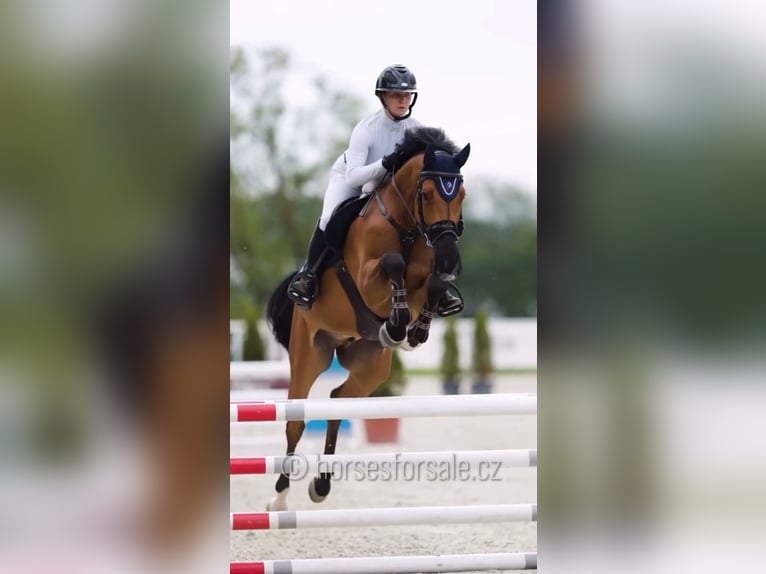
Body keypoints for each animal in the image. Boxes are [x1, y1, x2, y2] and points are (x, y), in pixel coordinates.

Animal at [265, 126, 470, 510]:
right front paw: (397, 326)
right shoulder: (365, 280)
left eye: (462, 194)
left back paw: (321, 485)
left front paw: (413, 331)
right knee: (295, 420)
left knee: (338, 400)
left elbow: (431, 283)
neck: (406, 226)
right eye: (427, 193)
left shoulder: (423, 281)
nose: (451, 260)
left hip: (371, 365)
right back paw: (279, 499)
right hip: (310, 353)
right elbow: (393, 263)